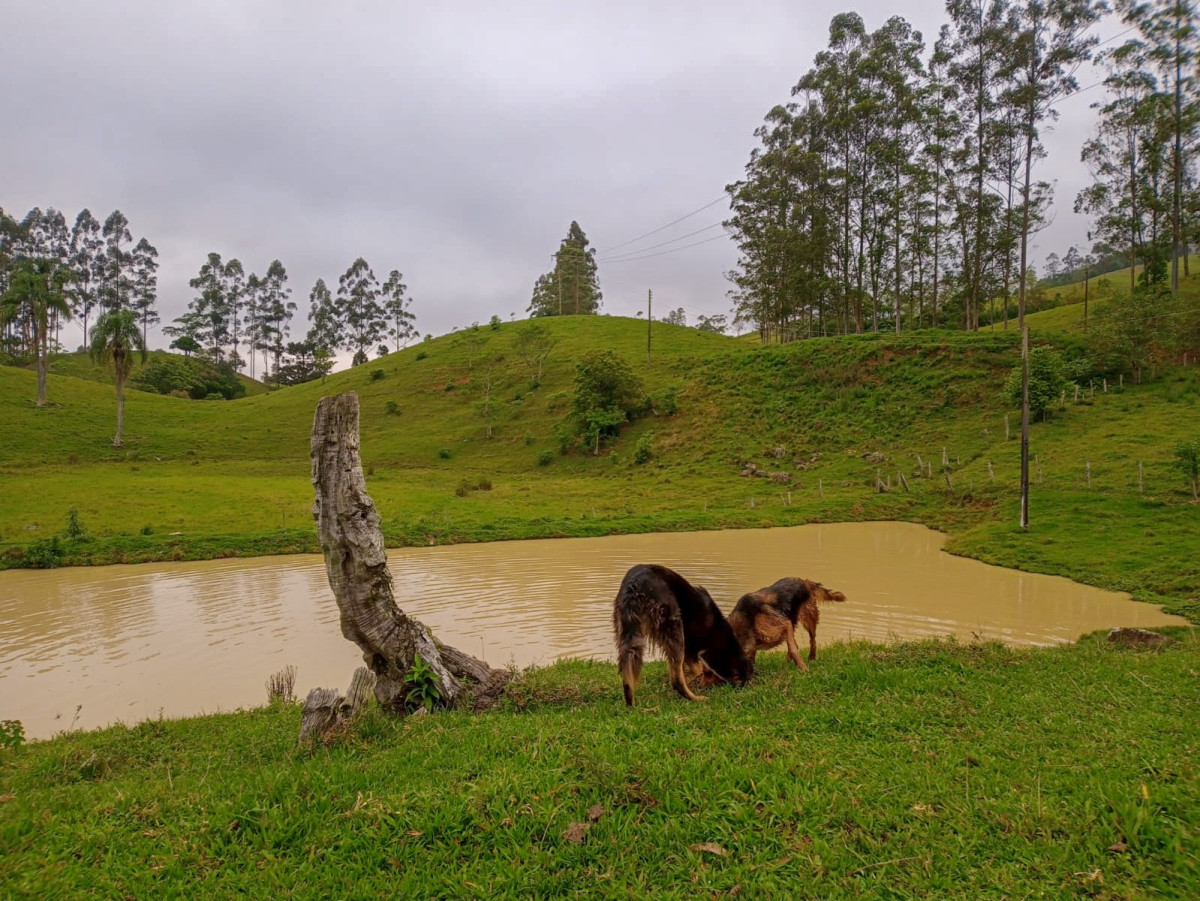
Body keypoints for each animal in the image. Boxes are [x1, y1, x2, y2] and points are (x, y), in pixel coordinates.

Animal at [609, 563, 748, 705]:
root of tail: (635, 585)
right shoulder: (691, 649)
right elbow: (697, 669)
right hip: (674, 628)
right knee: (676, 680)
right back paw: (696, 698)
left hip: (627, 633)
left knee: (627, 672)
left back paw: (630, 704)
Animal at [715, 578, 849, 676]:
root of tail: (804, 581)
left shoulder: (784, 624)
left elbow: (794, 650)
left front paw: (804, 669)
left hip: (808, 618)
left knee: (812, 640)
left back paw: (811, 658)